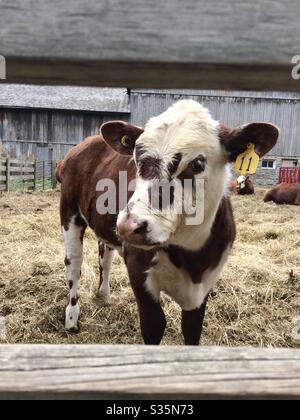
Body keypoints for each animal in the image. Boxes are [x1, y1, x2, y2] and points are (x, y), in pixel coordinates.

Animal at [58, 101, 278, 344]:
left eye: (198, 163)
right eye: (136, 159)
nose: (129, 226)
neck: (191, 255)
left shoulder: (205, 284)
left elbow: (192, 329)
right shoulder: (138, 270)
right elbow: (154, 326)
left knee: (105, 256)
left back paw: (104, 295)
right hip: (69, 210)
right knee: (74, 263)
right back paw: (72, 317)